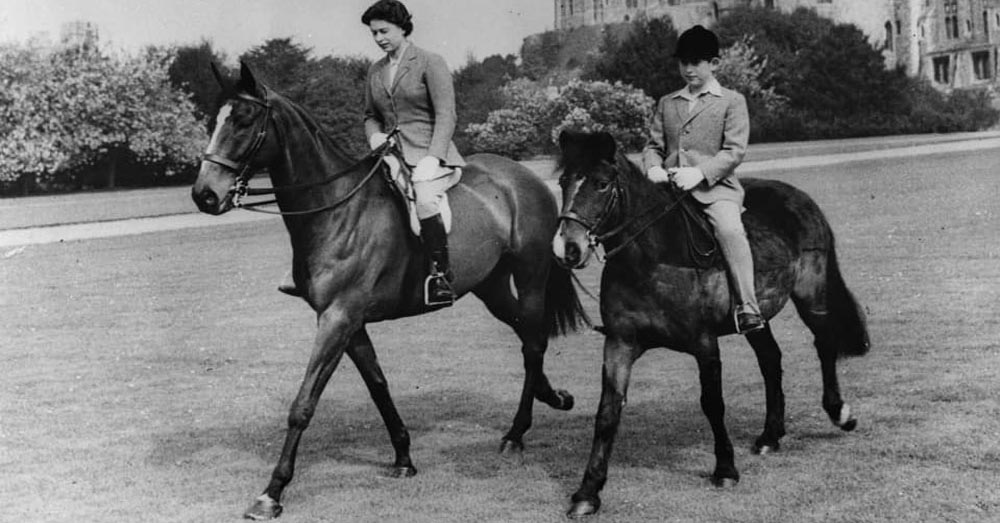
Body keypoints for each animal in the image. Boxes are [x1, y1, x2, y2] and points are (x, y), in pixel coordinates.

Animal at [191, 64, 588, 520]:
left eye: (243, 121)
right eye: (214, 120)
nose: (204, 195)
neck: (336, 208)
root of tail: (525, 177)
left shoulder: (338, 319)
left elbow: (303, 404)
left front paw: (272, 492)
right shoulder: (348, 322)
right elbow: (378, 385)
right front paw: (403, 457)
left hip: (530, 276)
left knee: (534, 342)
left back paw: (517, 433)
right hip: (489, 286)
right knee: (526, 334)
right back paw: (552, 397)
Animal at [552, 132, 872, 520]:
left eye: (600, 184)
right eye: (563, 182)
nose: (567, 249)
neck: (652, 258)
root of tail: (799, 197)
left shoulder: (704, 344)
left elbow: (712, 404)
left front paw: (725, 470)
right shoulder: (619, 343)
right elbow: (608, 413)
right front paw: (588, 492)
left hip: (811, 294)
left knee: (824, 345)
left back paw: (840, 413)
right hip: (756, 315)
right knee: (771, 360)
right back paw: (770, 436)